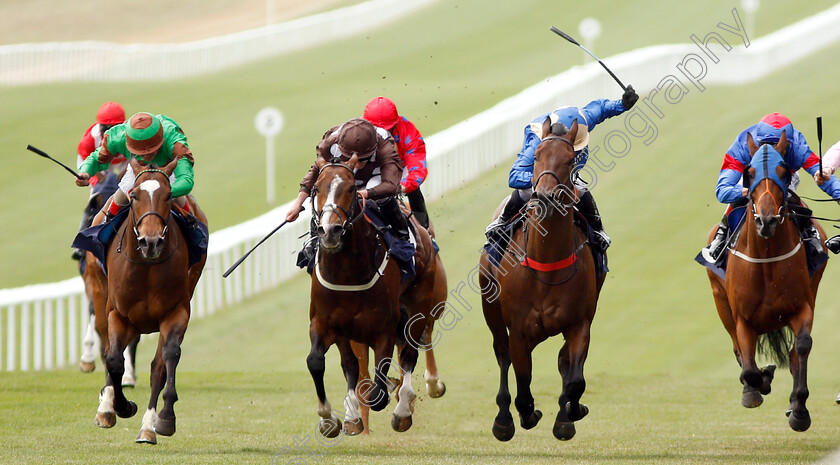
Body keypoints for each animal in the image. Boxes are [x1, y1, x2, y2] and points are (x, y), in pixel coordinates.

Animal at [92, 158, 208, 444]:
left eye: (168, 196)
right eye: (134, 196)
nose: (151, 241)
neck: (146, 267)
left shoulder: (176, 312)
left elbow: (166, 360)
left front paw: (163, 419)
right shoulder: (118, 314)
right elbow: (114, 359)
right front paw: (120, 406)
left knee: (157, 364)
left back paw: (148, 426)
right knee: (108, 349)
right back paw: (106, 406)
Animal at [302, 155, 446, 436]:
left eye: (350, 189)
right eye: (316, 189)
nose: (330, 230)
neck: (348, 273)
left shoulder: (384, 330)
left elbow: (379, 388)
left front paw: (391, 394)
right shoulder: (325, 324)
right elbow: (316, 361)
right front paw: (329, 419)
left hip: (420, 308)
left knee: (410, 353)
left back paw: (403, 408)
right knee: (352, 365)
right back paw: (354, 415)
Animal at [480, 118, 604, 440]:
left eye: (570, 159)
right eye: (536, 157)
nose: (545, 197)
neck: (546, 266)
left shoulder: (579, 325)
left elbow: (575, 379)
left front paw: (570, 413)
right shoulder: (519, 330)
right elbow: (523, 388)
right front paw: (527, 415)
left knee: (562, 362)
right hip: (492, 310)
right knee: (502, 355)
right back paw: (503, 420)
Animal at [704, 131, 828, 432]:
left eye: (783, 172)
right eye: (749, 173)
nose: (767, 221)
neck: (768, 261)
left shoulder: (801, 307)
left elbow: (802, 346)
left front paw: (799, 409)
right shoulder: (742, 318)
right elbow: (748, 366)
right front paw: (757, 386)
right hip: (720, 301)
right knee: (738, 351)